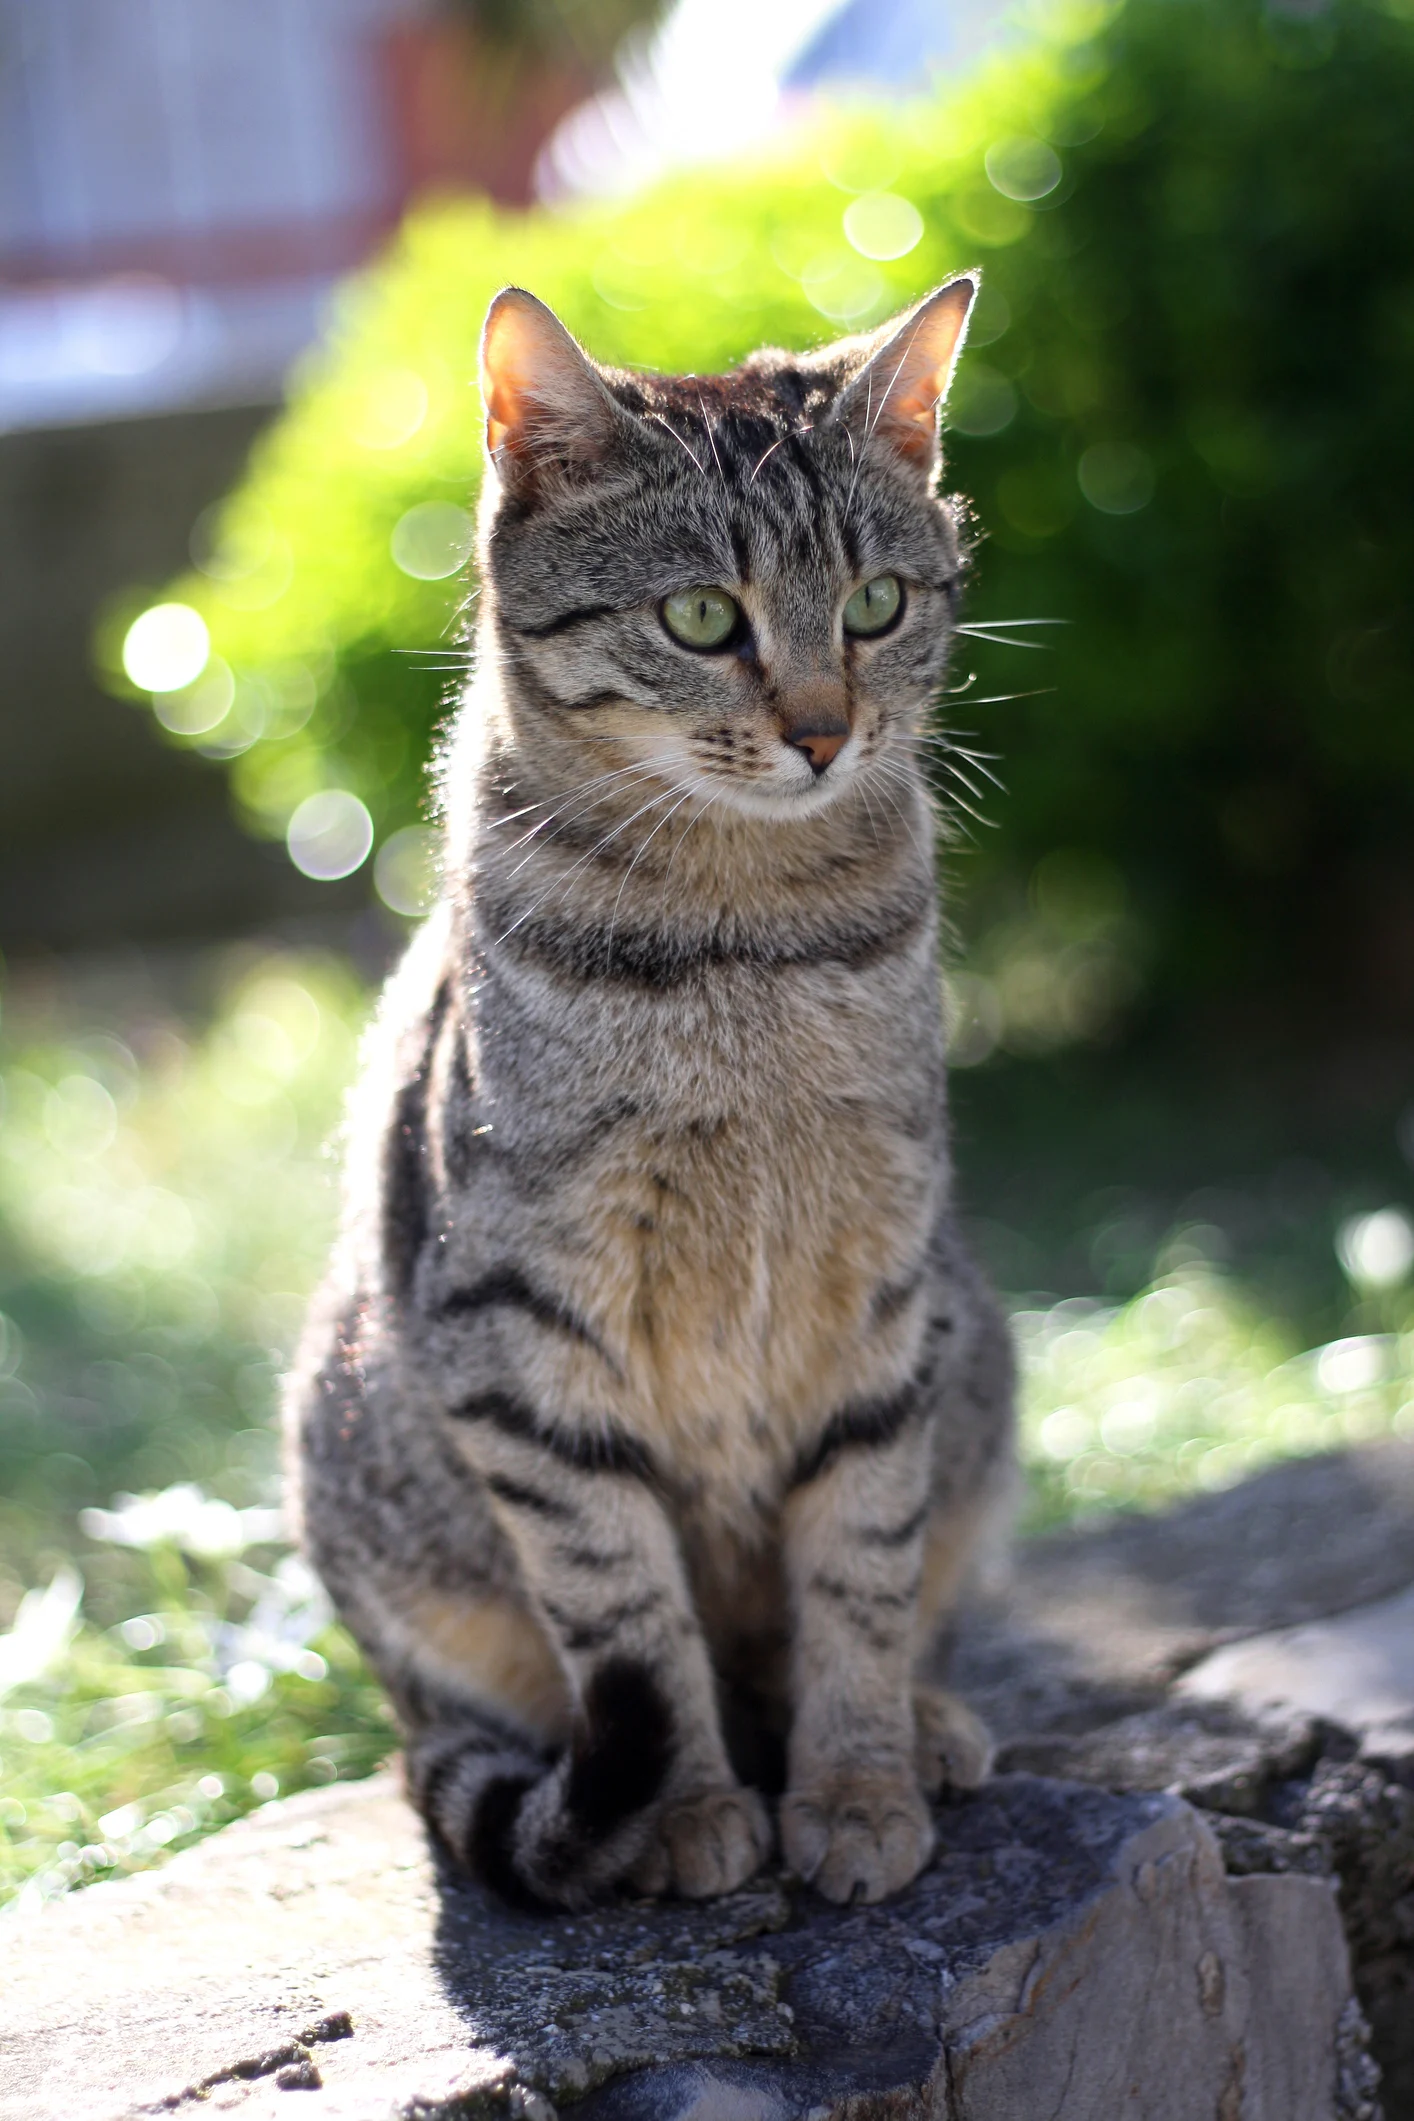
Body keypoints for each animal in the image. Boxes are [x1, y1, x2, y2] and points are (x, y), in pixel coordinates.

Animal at [288, 273, 1017, 1917]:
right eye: (701, 617)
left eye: (875, 604)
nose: (821, 731)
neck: (745, 939)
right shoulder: (522, 1334)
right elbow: (627, 1611)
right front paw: (686, 1814)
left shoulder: (882, 1290)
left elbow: (859, 1574)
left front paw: (858, 1787)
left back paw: (930, 1725)